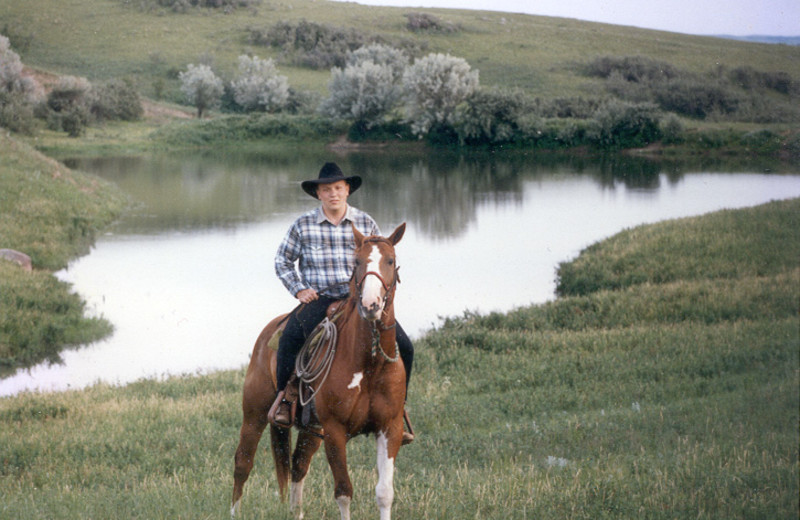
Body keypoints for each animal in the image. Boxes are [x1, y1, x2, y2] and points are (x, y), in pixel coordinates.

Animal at [230, 222, 406, 520]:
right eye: (357, 261)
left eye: (391, 261)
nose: (370, 305)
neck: (368, 365)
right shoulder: (335, 431)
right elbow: (344, 492)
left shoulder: (389, 427)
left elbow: (385, 493)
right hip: (254, 413)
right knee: (243, 462)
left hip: (311, 428)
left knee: (298, 465)